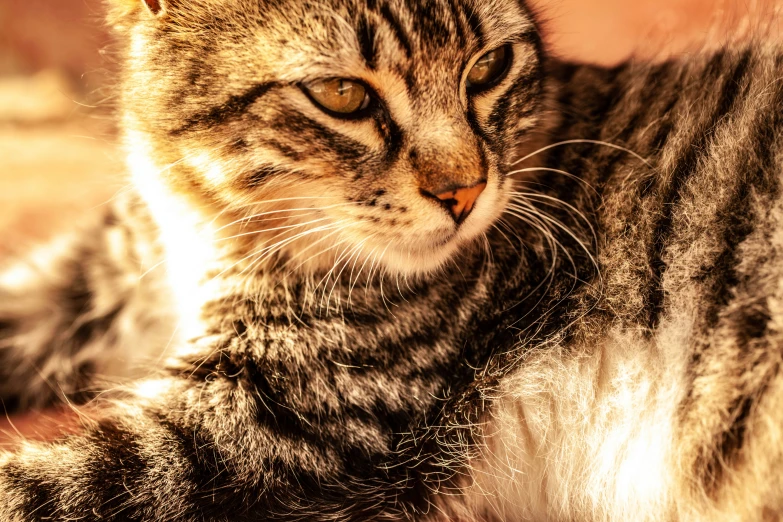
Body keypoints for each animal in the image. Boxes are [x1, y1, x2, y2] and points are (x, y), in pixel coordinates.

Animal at [1, 0, 783, 516]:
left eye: (489, 67)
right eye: (341, 93)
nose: (465, 191)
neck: (206, 230)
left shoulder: (263, 426)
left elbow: (36, 486)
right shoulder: (103, 275)